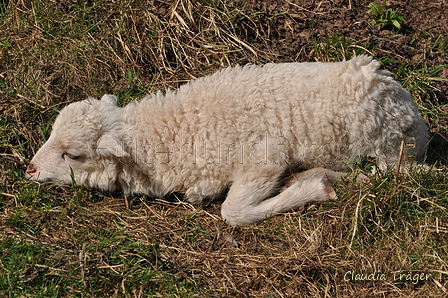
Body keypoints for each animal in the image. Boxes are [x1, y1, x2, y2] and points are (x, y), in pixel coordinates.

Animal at [25, 56, 430, 225]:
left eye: (73, 155)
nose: (29, 170)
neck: (168, 131)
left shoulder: (264, 159)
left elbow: (232, 213)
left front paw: (314, 189)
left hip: (385, 144)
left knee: (390, 175)